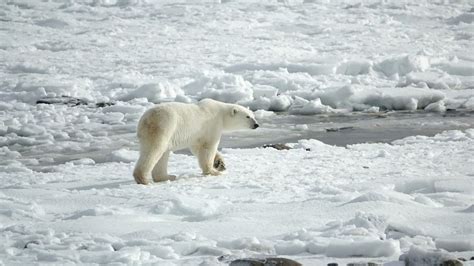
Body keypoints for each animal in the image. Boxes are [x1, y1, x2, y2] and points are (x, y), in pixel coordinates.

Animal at [132, 98, 260, 184]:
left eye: (253, 116)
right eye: (247, 117)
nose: (256, 125)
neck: (221, 114)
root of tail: (144, 120)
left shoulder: (197, 134)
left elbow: (197, 148)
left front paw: (220, 163)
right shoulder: (212, 125)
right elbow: (208, 147)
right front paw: (213, 171)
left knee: (163, 154)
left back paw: (168, 176)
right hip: (163, 127)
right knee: (154, 150)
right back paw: (143, 179)